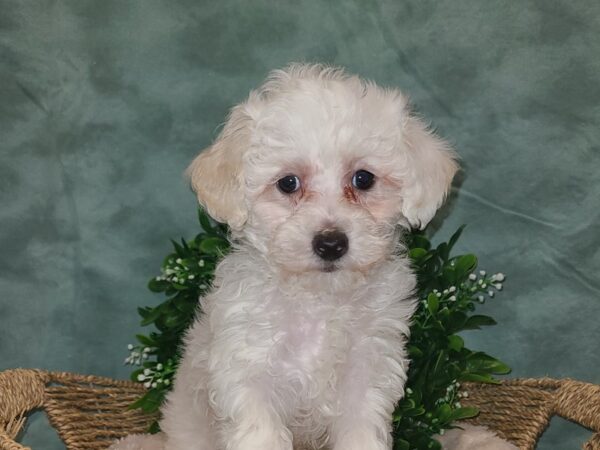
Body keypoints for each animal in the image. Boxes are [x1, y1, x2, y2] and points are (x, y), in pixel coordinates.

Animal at [110, 64, 464, 450]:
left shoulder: (367, 372)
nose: (331, 243)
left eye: (364, 179)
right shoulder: (250, 372)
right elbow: (260, 433)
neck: (318, 299)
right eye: (288, 183)